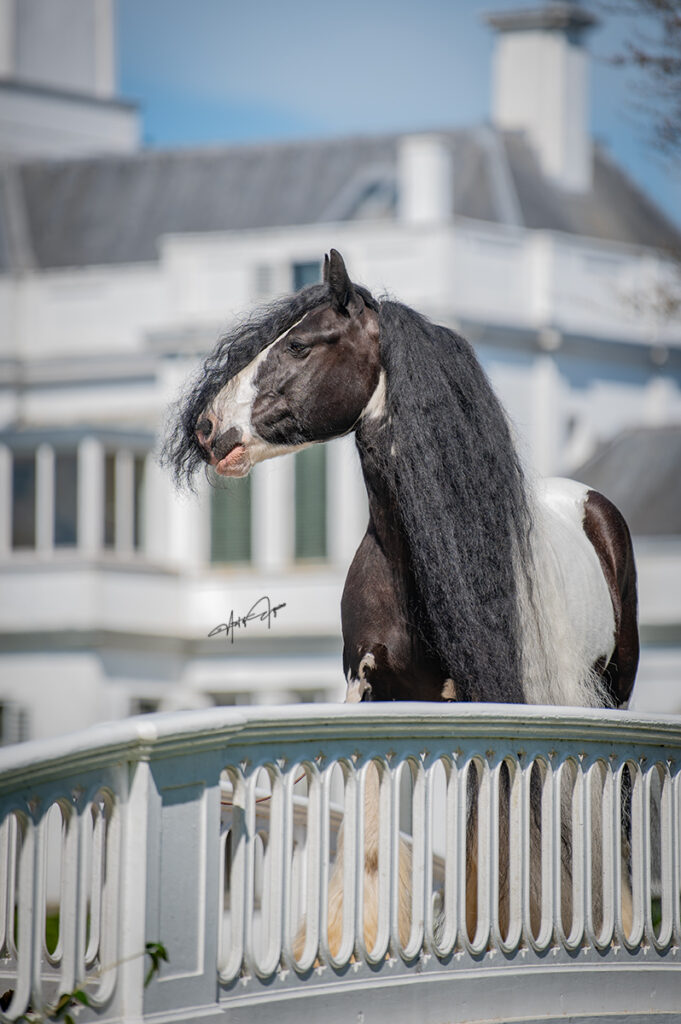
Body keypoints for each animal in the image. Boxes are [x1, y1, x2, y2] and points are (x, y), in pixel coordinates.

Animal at [163, 248, 638, 955]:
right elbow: (371, 842)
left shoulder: (486, 707)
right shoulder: (371, 693)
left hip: (611, 694)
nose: (208, 428)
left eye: (299, 344)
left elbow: (488, 845)